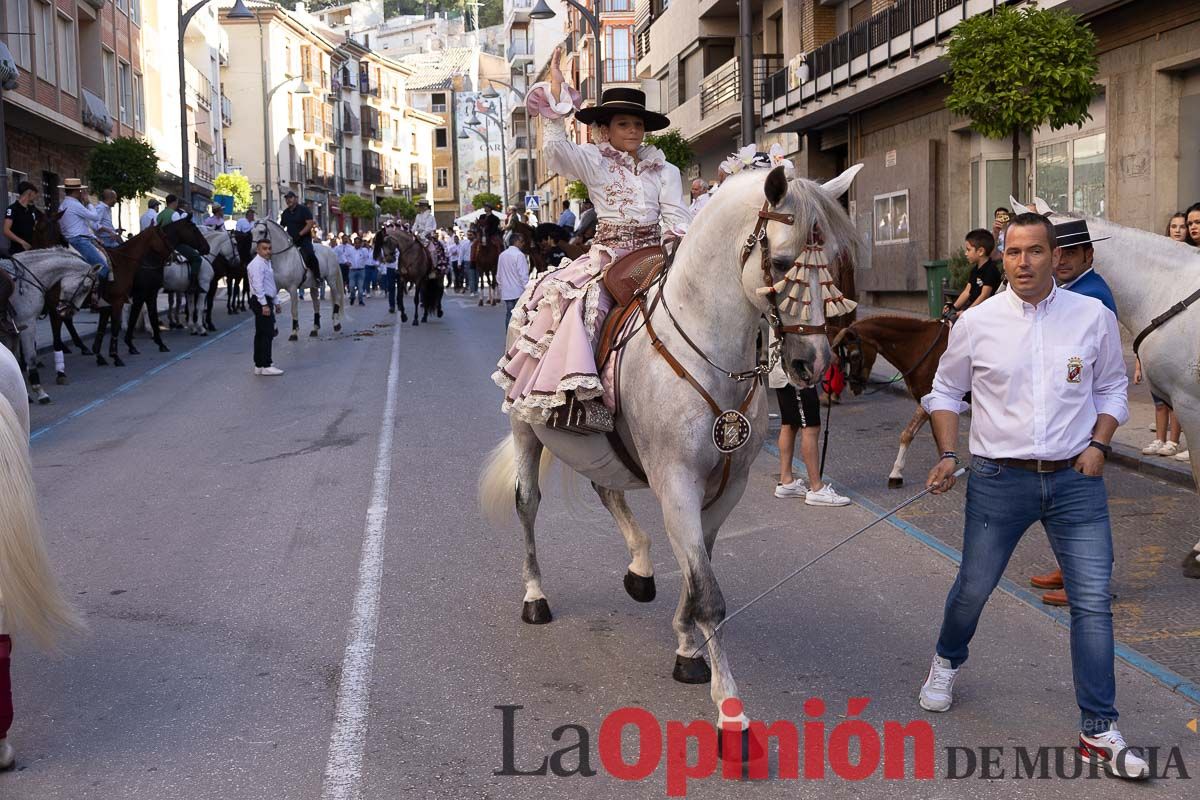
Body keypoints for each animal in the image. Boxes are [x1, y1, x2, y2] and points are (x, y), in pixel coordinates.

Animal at [0, 248, 96, 402]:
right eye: (85, 288)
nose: (69, 312)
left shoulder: (12, 331)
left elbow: (13, 358)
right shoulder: (27, 323)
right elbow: (30, 357)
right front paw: (40, 392)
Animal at [477, 165, 864, 729]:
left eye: (833, 263)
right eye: (782, 263)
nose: (812, 363)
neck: (709, 353)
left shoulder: (726, 487)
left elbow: (697, 573)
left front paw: (686, 648)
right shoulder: (677, 483)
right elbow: (708, 594)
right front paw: (730, 708)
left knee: (606, 489)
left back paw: (640, 569)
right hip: (524, 429)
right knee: (527, 505)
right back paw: (535, 596)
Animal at [830, 311, 950, 489]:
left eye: (855, 355)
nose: (853, 387)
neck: (923, 347)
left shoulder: (929, 398)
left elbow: (914, 433)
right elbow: (917, 433)